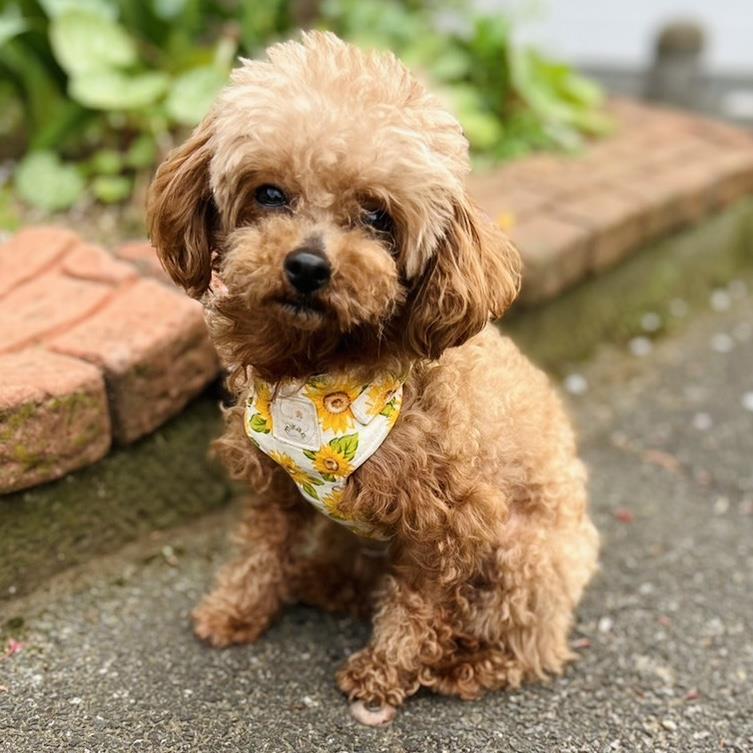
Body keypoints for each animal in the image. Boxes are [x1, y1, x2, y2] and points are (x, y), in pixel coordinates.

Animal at [147, 31, 599, 726]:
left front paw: (383, 674)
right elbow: (259, 549)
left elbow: (417, 606)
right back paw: (322, 582)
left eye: (379, 217)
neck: (320, 373)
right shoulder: (274, 484)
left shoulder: (451, 523)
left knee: (526, 647)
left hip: (527, 559)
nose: (308, 266)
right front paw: (236, 611)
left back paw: (465, 666)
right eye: (269, 193)